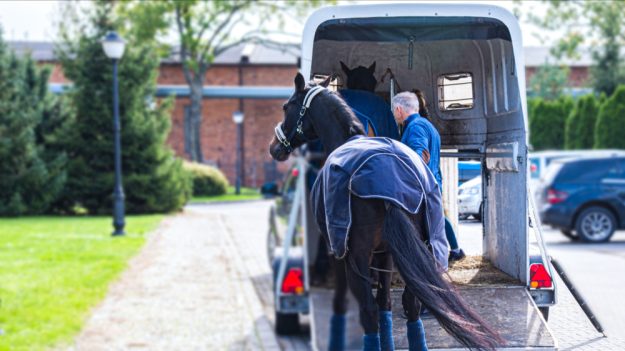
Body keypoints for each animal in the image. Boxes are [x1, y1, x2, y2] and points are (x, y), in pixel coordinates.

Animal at [266, 73, 500, 350]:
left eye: (286, 106)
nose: (274, 147)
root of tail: (391, 181)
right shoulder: (385, 252)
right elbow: (385, 304)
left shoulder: (341, 253)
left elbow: (345, 305)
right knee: (410, 304)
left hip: (358, 255)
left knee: (368, 311)